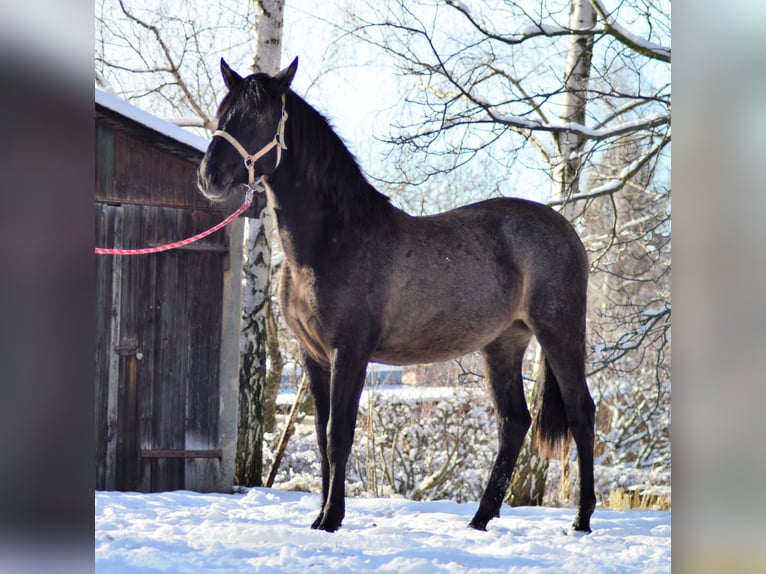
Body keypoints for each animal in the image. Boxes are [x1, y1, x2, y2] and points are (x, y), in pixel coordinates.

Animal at [198, 57, 600, 536]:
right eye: (223, 112)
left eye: (259, 117)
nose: (209, 177)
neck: (334, 238)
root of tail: (567, 231)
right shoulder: (315, 356)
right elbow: (322, 436)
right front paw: (319, 517)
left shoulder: (349, 353)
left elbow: (338, 435)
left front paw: (331, 519)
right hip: (503, 343)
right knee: (514, 421)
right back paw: (480, 519)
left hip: (559, 333)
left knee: (581, 413)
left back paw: (581, 520)